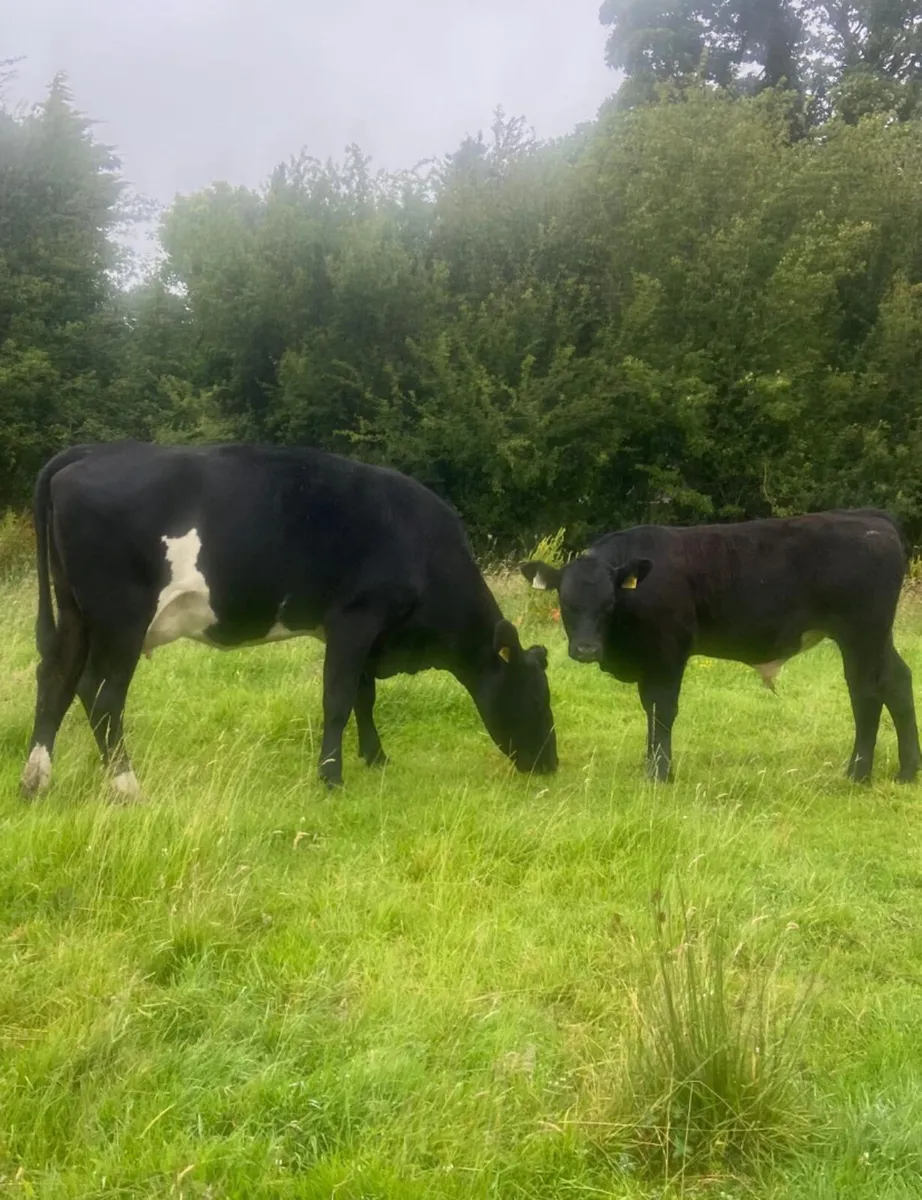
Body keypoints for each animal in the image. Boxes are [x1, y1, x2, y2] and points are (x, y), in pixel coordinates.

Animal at [21, 441, 557, 800]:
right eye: (537, 696)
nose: (551, 763)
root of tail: (90, 452)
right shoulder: (356, 618)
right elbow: (338, 700)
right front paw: (331, 776)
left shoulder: (364, 632)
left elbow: (363, 696)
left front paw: (375, 757)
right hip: (121, 618)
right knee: (103, 696)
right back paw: (127, 785)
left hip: (75, 613)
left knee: (58, 681)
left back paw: (36, 779)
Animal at [520, 510, 920, 784]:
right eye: (567, 602)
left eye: (608, 604)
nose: (587, 650)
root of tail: (869, 517)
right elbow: (650, 709)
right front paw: (651, 764)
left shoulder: (669, 653)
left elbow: (662, 709)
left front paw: (660, 773)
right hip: (877, 636)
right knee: (897, 682)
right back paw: (907, 771)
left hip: (861, 635)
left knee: (866, 694)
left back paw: (857, 773)